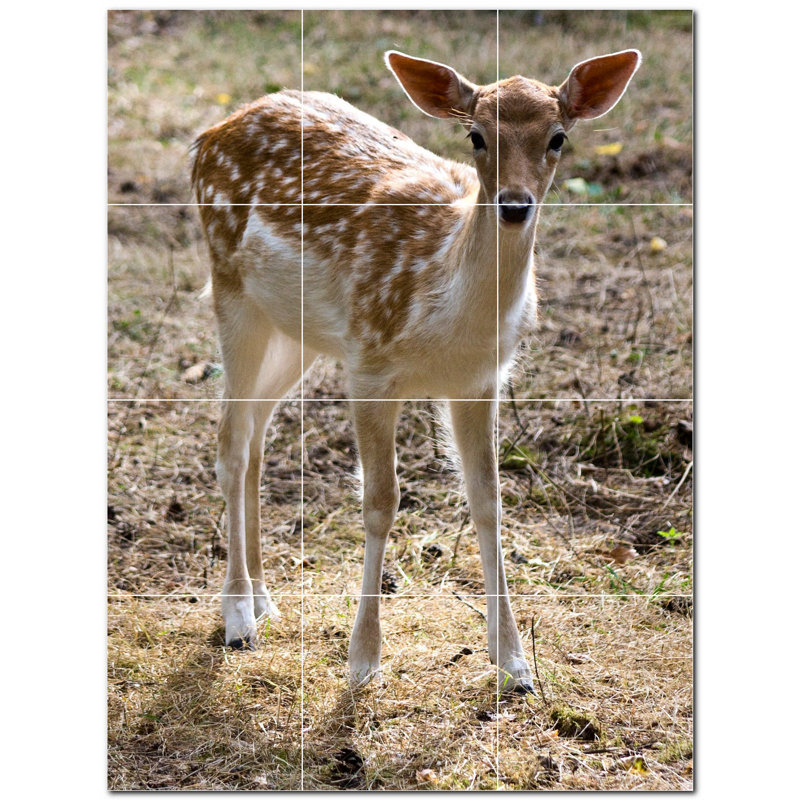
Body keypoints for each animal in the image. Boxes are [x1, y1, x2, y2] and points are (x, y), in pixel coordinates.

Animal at [190, 48, 641, 693]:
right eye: (476, 135)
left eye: (558, 137)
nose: (514, 204)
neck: (447, 312)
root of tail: (209, 135)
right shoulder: (369, 363)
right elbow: (381, 501)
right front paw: (362, 662)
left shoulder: (480, 379)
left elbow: (488, 499)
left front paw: (515, 664)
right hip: (230, 286)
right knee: (230, 439)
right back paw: (237, 619)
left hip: (297, 332)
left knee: (254, 433)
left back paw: (264, 599)